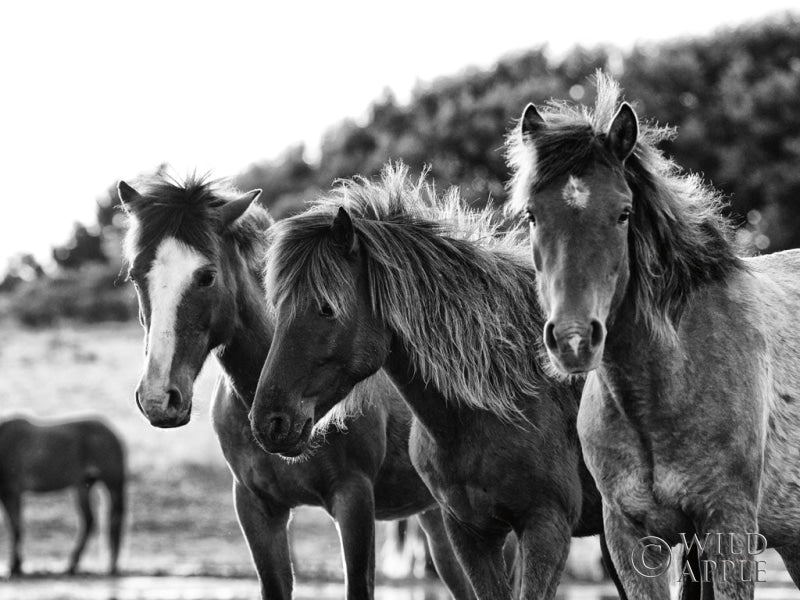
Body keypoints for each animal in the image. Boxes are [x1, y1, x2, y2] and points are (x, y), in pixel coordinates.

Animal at [0, 417, 125, 576]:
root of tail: (111, 432)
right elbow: (13, 526)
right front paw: (16, 565)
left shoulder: (11, 491)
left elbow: (15, 527)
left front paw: (15, 566)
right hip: (84, 485)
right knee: (91, 520)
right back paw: (77, 565)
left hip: (111, 483)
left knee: (113, 519)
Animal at [117, 174, 474, 600]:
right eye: (136, 275)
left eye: (206, 276)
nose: (159, 398)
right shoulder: (256, 508)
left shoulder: (353, 500)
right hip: (439, 522)